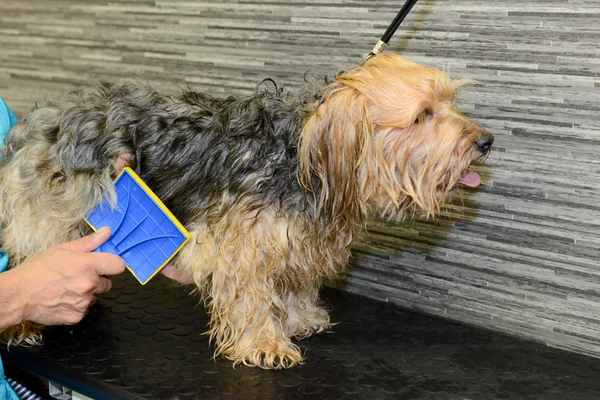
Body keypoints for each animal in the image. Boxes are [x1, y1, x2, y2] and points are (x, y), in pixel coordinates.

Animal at [0, 53, 492, 368]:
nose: (486, 142)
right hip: (50, 217)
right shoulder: (243, 250)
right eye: (422, 115)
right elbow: (251, 297)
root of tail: (43, 119)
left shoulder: (294, 243)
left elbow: (293, 285)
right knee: (28, 259)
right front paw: (265, 344)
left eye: (449, 101)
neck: (304, 160)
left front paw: (300, 319)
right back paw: (22, 325)